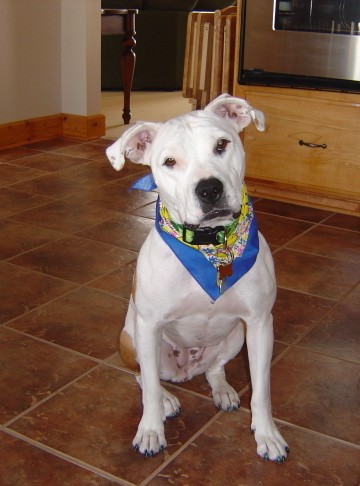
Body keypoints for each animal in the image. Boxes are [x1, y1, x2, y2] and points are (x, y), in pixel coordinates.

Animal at [105, 94, 288, 464]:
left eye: (222, 145)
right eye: (169, 161)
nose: (209, 189)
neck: (209, 247)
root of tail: (185, 371)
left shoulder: (259, 323)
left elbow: (261, 389)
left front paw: (267, 435)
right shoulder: (149, 325)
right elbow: (148, 389)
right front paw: (150, 431)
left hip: (235, 337)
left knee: (214, 368)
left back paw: (223, 391)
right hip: (133, 339)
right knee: (144, 377)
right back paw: (167, 400)